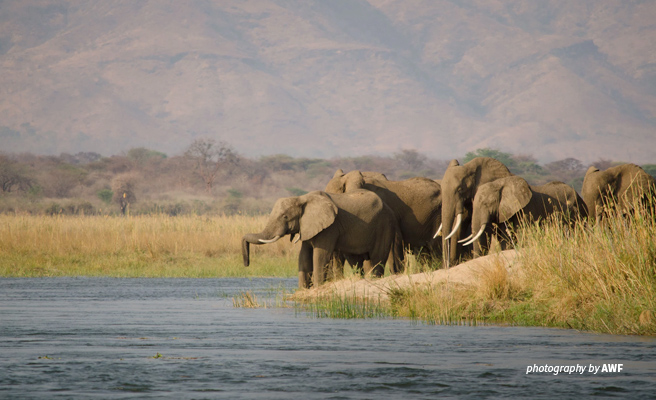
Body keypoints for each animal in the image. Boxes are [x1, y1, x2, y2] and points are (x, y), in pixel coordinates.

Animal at [241, 190, 400, 288]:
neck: (302, 198)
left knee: (376, 259)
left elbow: (320, 255)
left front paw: (317, 288)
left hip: (385, 225)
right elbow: (304, 255)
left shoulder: (330, 227)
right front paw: (303, 290)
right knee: (358, 261)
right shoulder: (308, 225)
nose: (246, 263)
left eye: (285, 216)